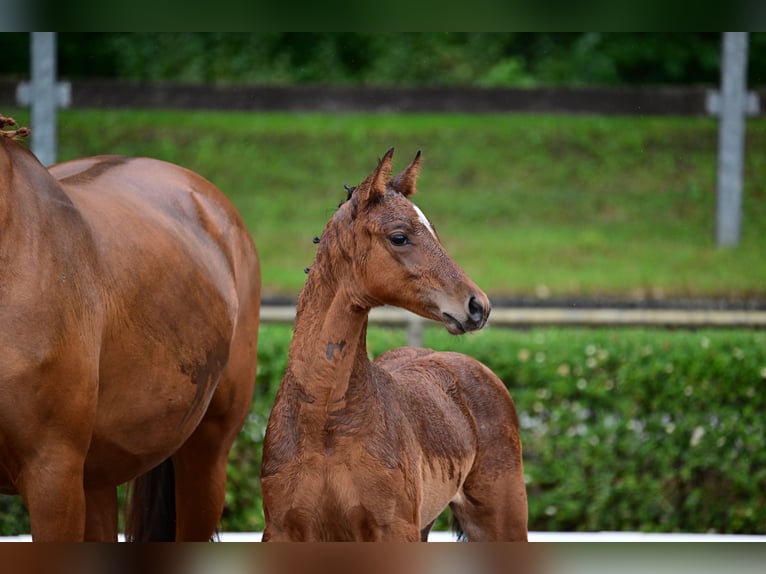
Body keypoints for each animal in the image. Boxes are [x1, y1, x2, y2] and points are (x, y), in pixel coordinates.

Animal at [260, 148, 528, 544]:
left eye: (435, 232)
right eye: (399, 237)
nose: (478, 305)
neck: (324, 423)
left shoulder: (393, 529)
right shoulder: (281, 530)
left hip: (500, 520)